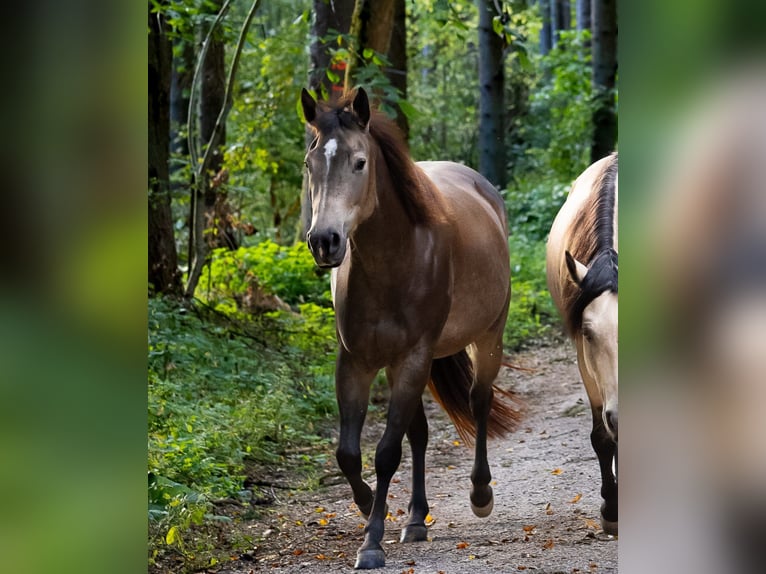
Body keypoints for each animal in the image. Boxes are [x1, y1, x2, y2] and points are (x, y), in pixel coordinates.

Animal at [300, 87, 522, 569]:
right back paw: (417, 518)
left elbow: (386, 453)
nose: (324, 241)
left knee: (479, 402)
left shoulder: (414, 358)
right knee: (419, 433)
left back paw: (480, 493)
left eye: (359, 162)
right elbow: (349, 453)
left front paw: (371, 541)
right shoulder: (357, 362)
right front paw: (370, 506)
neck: (395, 261)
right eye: (310, 164)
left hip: (486, 338)